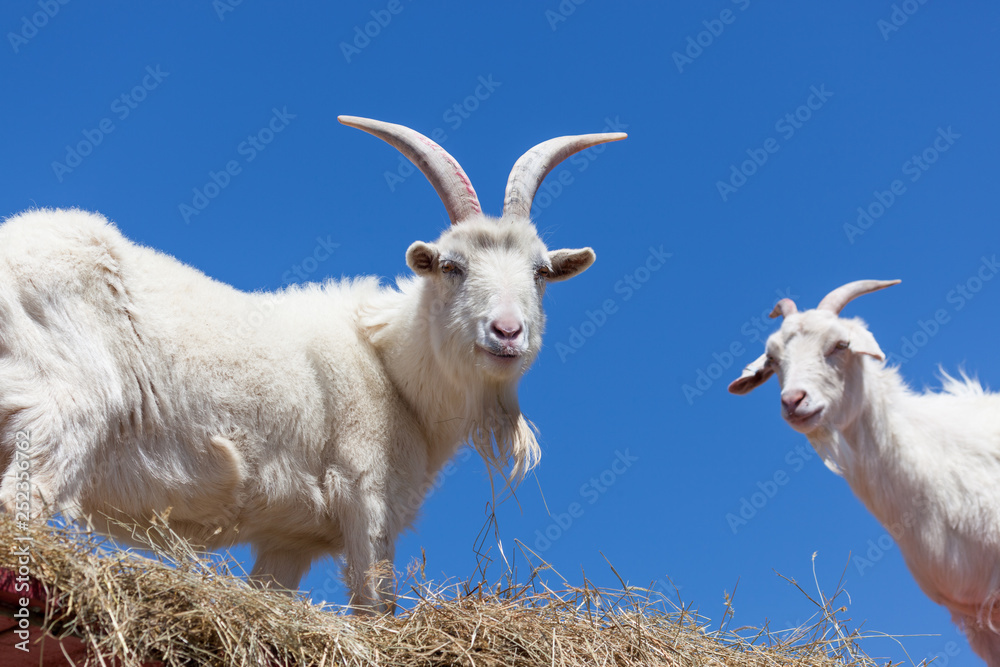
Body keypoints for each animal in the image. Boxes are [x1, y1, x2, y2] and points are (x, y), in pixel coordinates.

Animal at [0, 115, 625, 612]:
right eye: (451, 266)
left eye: (541, 272)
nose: (507, 333)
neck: (391, 367)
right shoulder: (366, 496)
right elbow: (377, 609)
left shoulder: (289, 539)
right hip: (64, 413)